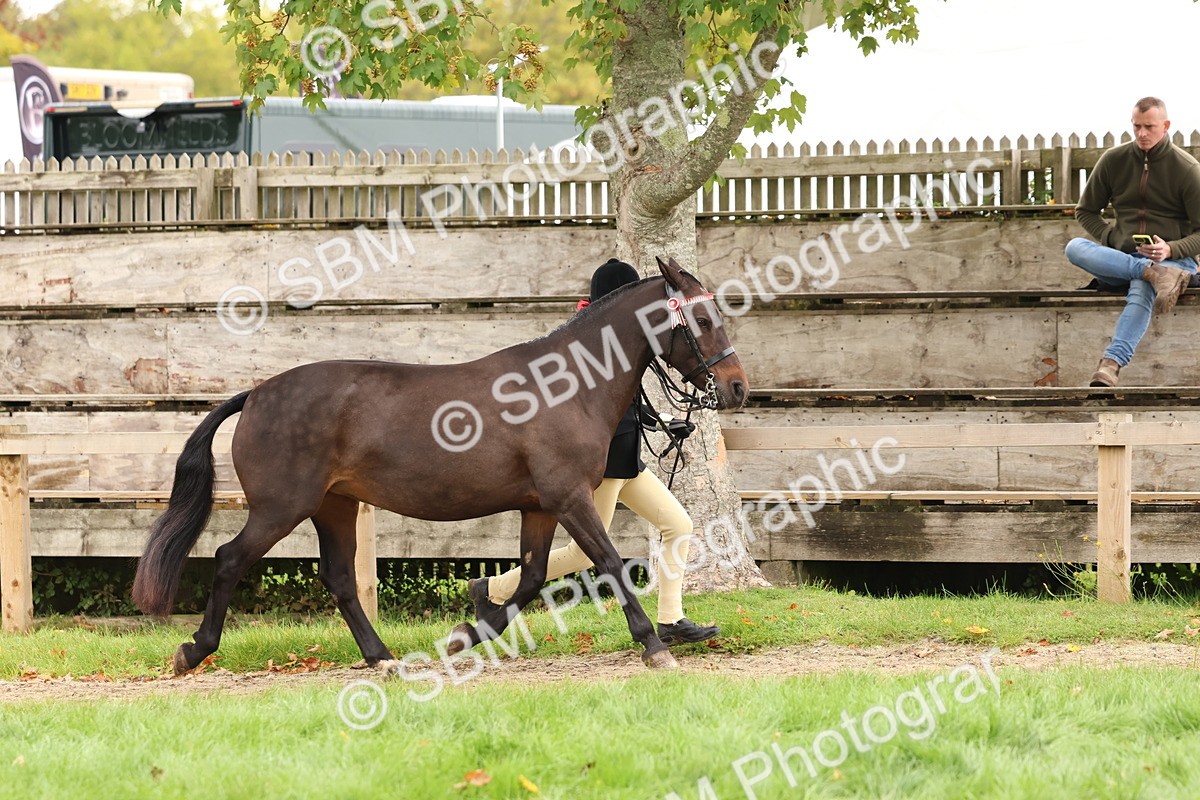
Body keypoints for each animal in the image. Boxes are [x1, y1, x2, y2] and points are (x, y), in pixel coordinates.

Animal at [132, 257, 749, 674]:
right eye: (702, 319)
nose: (737, 386)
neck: (566, 386)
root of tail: (256, 394)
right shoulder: (569, 497)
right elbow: (612, 565)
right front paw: (655, 646)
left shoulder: (540, 506)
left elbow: (530, 578)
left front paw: (466, 632)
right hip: (283, 507)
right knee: (229, 559)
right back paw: (194, 650)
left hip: (335, 505)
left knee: (339, 578)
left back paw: (381, 657)